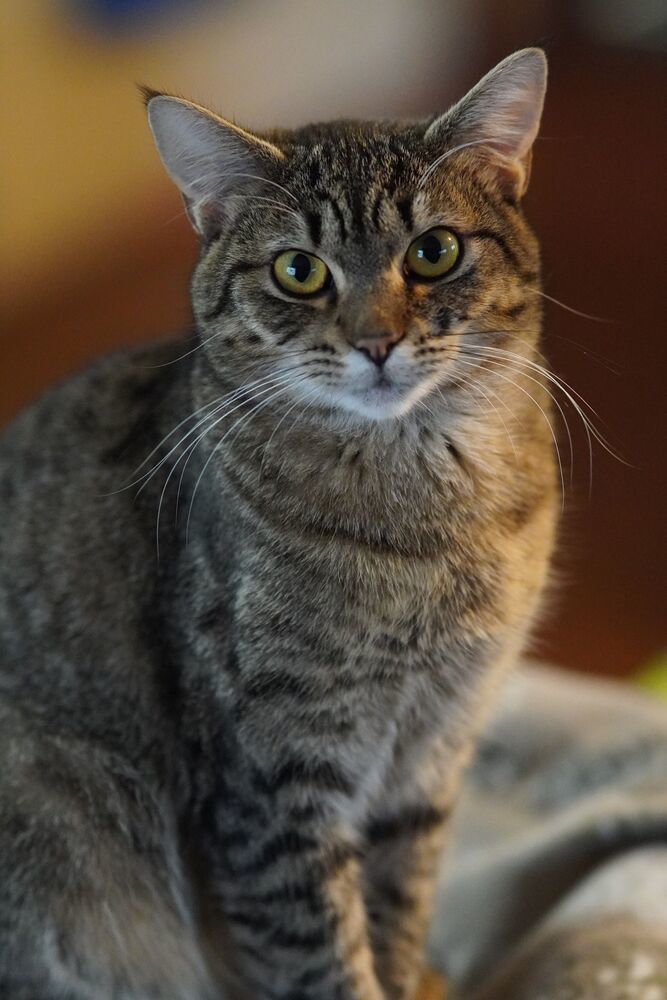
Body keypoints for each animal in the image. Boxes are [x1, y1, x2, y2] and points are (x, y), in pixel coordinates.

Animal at [0, 48, 560, 1000]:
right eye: (299, 270)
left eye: (434, 251)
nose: (376, 341)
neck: (427, 524)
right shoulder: (271, 785)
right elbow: (322, 958)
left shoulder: (432, 753)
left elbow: (397, 912)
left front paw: (410, 973)